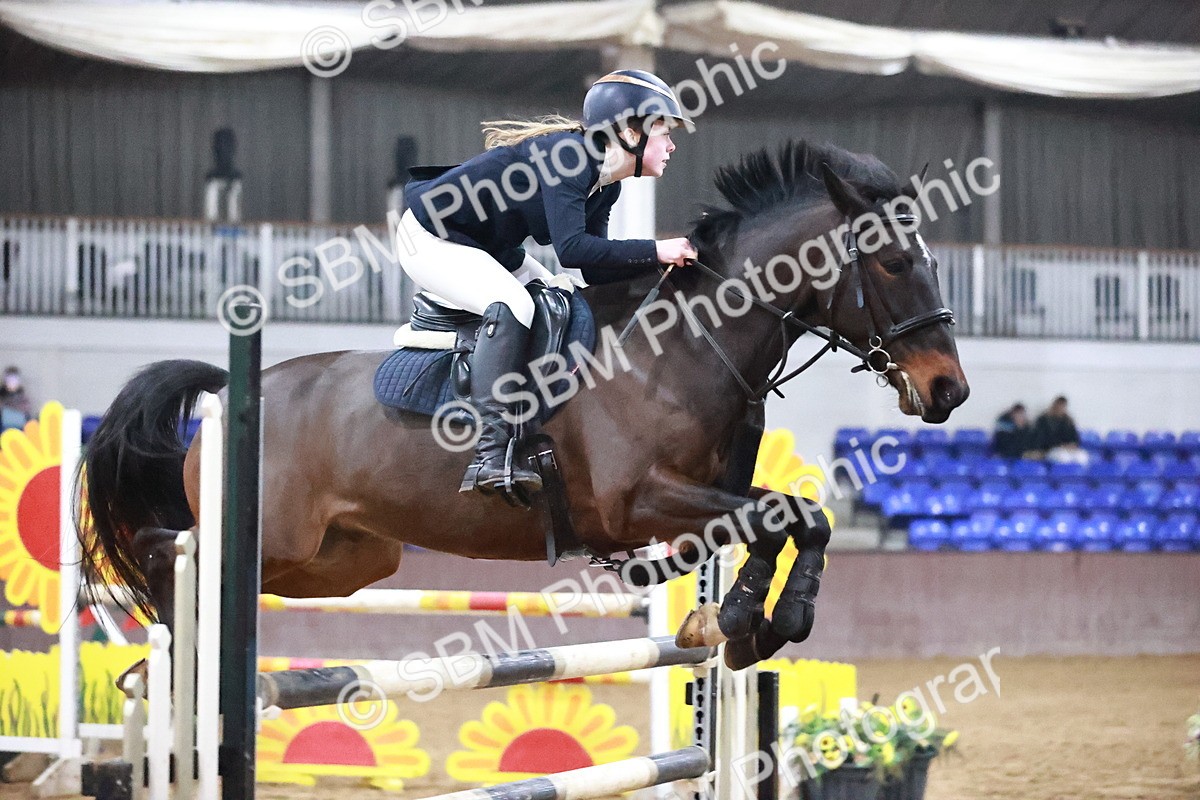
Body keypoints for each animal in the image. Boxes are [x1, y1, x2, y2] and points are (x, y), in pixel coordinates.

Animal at [77, 140, 968, 670]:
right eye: (893, 262)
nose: (948, 390)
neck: (682, 350)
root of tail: (229, 391)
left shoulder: (694, 505)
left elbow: (794, 516)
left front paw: (750, 625)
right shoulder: (635, 502)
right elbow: (780, 517)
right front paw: (754, 616)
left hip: (342, 560)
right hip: (269, 535)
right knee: (165, 547)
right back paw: (160, 643)